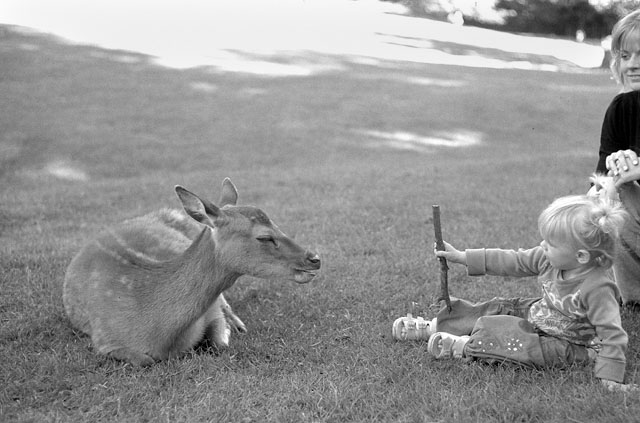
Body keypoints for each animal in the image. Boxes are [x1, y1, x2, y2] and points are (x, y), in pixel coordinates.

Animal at [63, 177, 322, 366]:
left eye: (276, 224)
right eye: (264, 237)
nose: (315, 259)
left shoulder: (212, 310)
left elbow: (220, 342)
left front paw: (232, 329)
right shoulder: (105, 339)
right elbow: (145, 361)